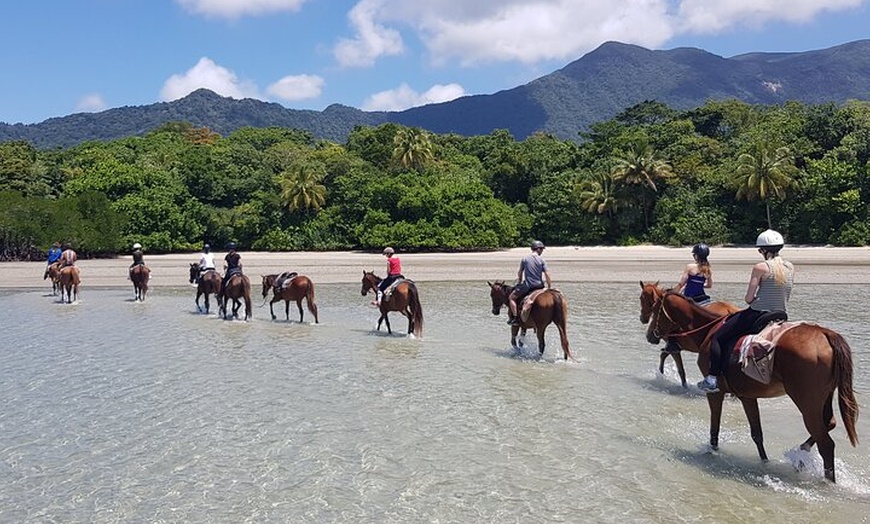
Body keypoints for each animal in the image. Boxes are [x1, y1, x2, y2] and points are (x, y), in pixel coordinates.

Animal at [648, 288, 860, 482]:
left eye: (655, 309)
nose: (650, 334)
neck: (708, 330)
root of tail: (825, 334)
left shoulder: (716, 392)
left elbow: (715, 426)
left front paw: (712, 451)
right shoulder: (747, 396)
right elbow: (757, 434)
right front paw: (764, 462)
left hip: (807, 404)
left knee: (826, 444)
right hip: (823, 399)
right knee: (829, 424)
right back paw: (800, 454)